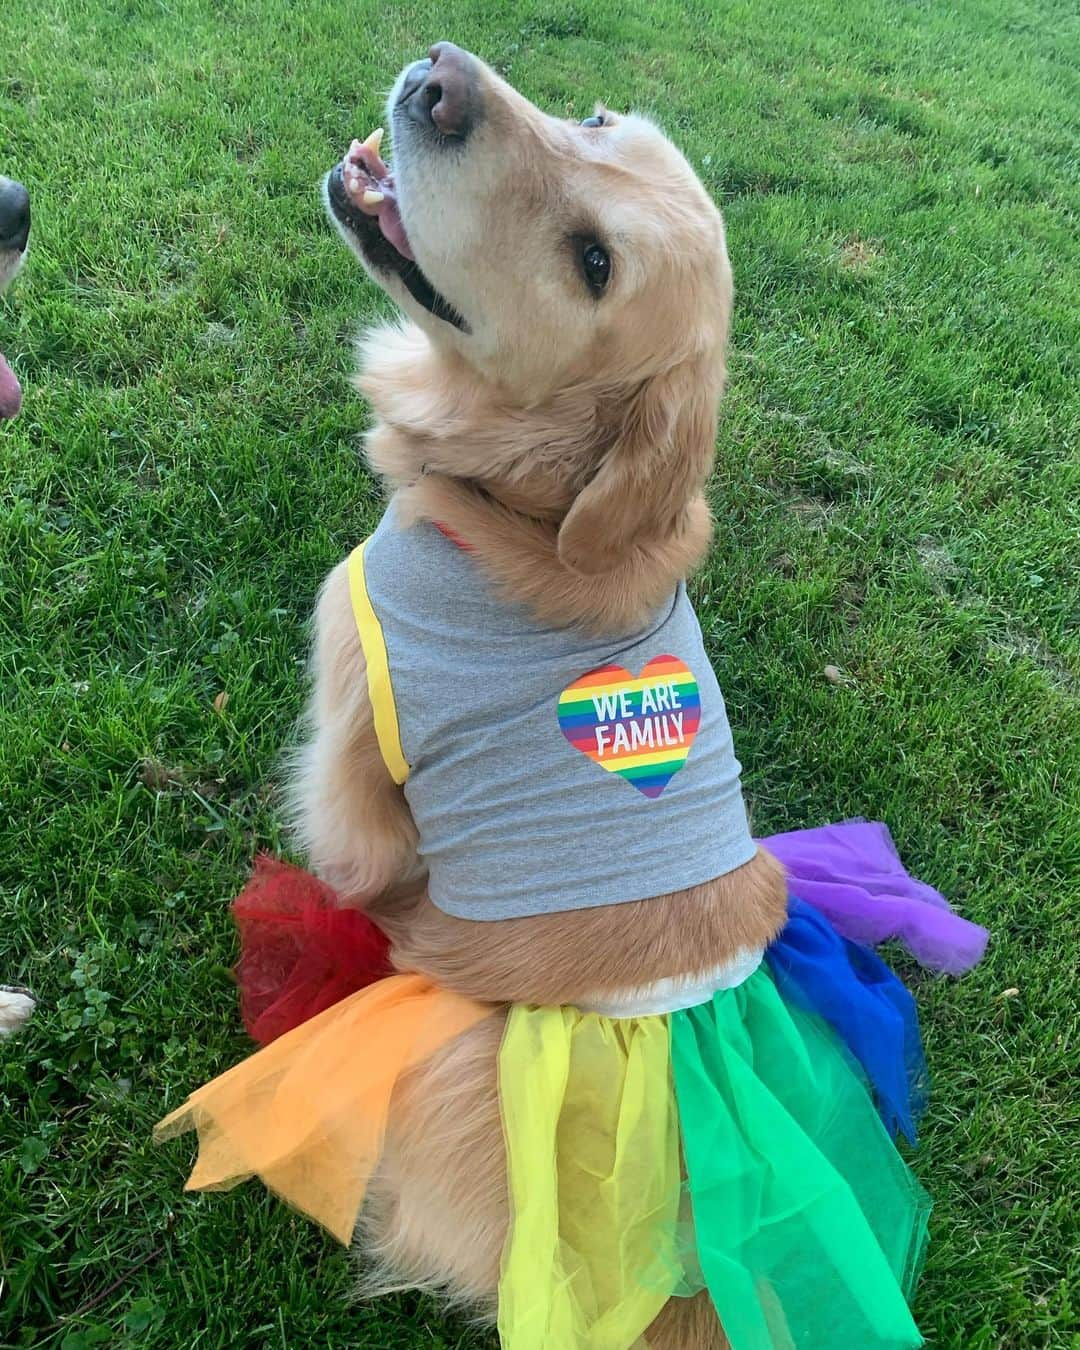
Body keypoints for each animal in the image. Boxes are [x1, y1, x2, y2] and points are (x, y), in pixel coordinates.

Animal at [295, 44, 783, 1350]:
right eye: (599, 117)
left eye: (594, 264)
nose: (440, 80)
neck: (515, 496)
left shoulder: (351, 709)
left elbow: (346, 844)